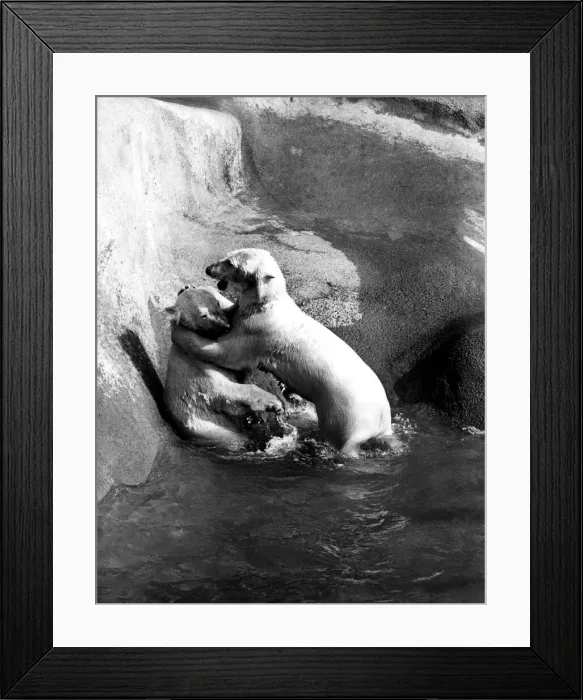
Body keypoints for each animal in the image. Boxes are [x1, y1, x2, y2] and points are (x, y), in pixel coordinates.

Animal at [163, 285, 287, 451]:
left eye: (216, 303)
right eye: (203, 315)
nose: (226, 326)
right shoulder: (199, 371)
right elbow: (226, 391)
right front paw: (273, 403)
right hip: (218, 432)